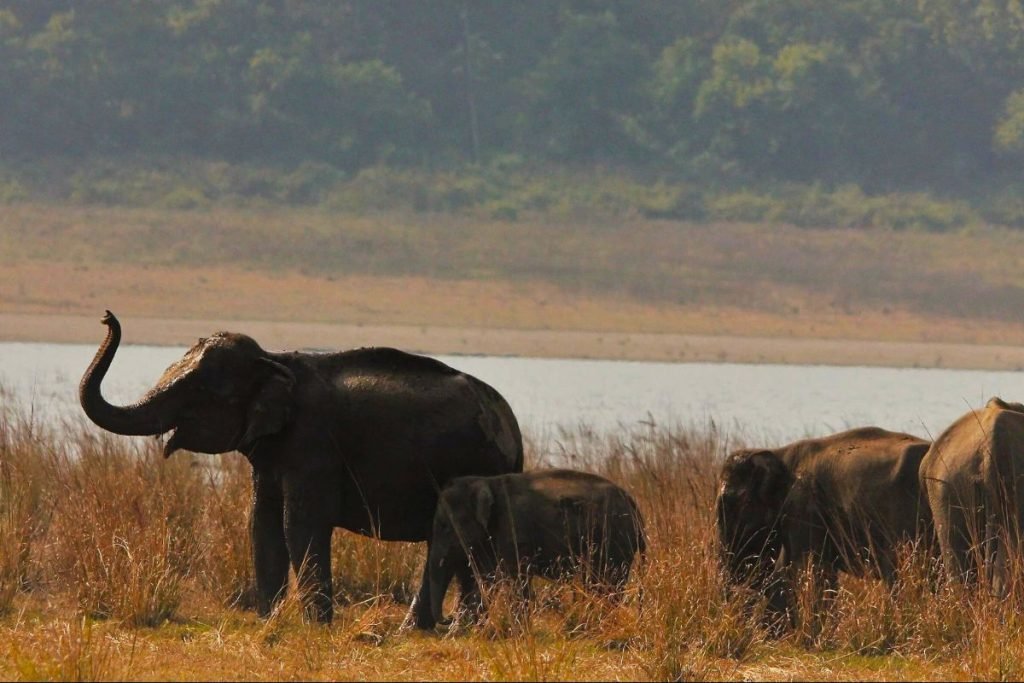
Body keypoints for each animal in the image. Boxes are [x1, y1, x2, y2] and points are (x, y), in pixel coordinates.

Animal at [78, 310, 523, 628]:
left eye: (202, 391)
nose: (105, 316)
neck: (273, 360)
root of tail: (512, 427)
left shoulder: (313, 445)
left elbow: (300, 524)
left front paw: (315, 627)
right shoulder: (272, 453)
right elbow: (261, 523)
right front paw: (269, 622)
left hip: (478, 465)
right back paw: (448, 627)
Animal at [426, 468, 645, 624]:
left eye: (444, 526)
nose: (449, 618)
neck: (487, 480)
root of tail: (633, 504)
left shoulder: (514, 529)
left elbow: (516, 578)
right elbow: (489, 578)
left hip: (615, 537)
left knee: (607, 582)